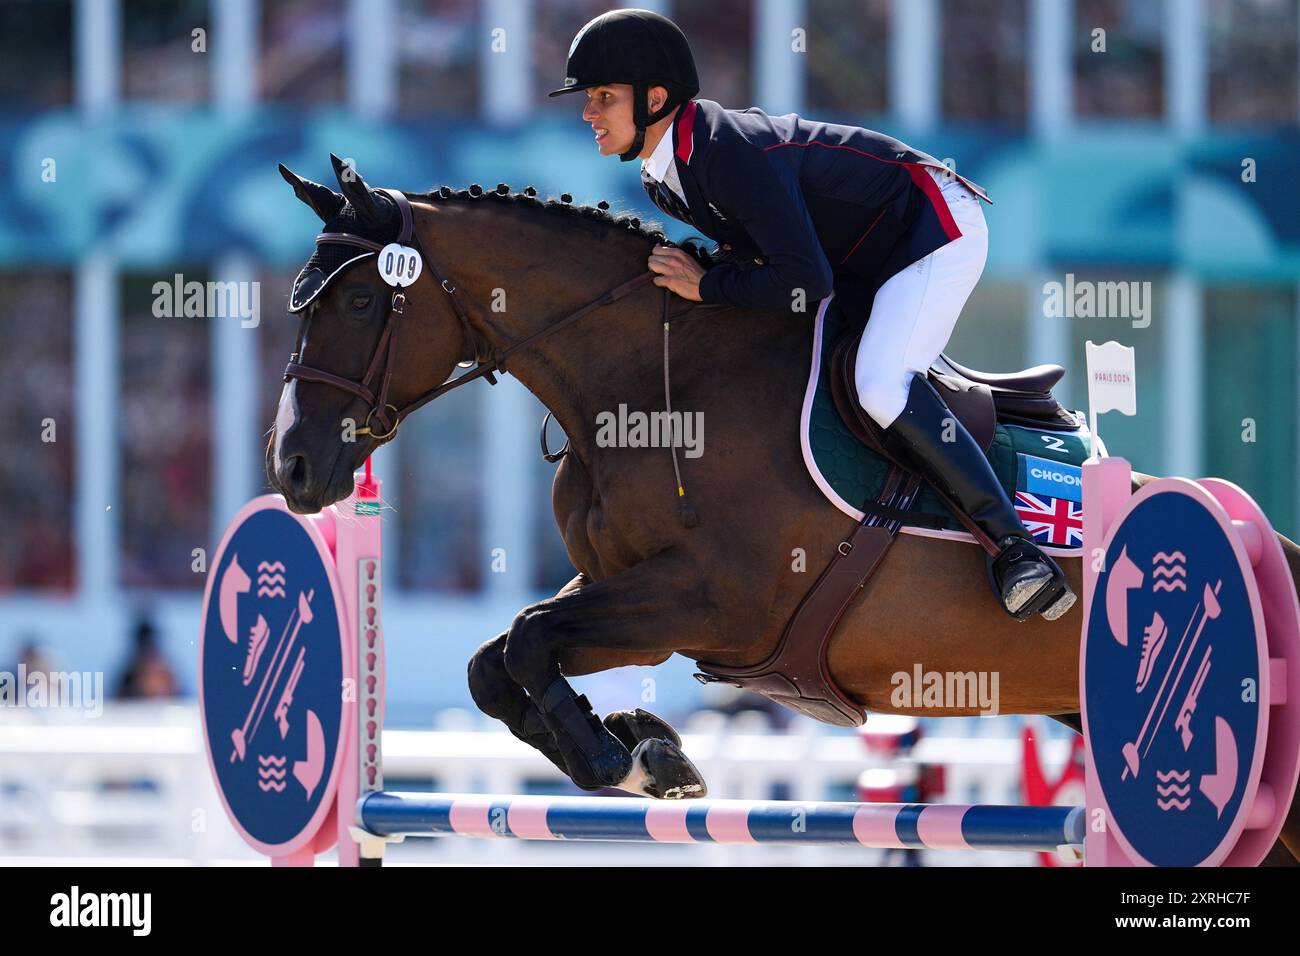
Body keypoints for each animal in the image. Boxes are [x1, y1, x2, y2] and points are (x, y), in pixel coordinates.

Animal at [266, 158, 1300, 868]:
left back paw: (1028, 572)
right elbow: (497, 662)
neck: (648, 381)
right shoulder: (628, 595)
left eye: (357, 302)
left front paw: (632, 761)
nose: (295, 467)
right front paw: (645, 748)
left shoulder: (712, 603)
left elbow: (525, 640)